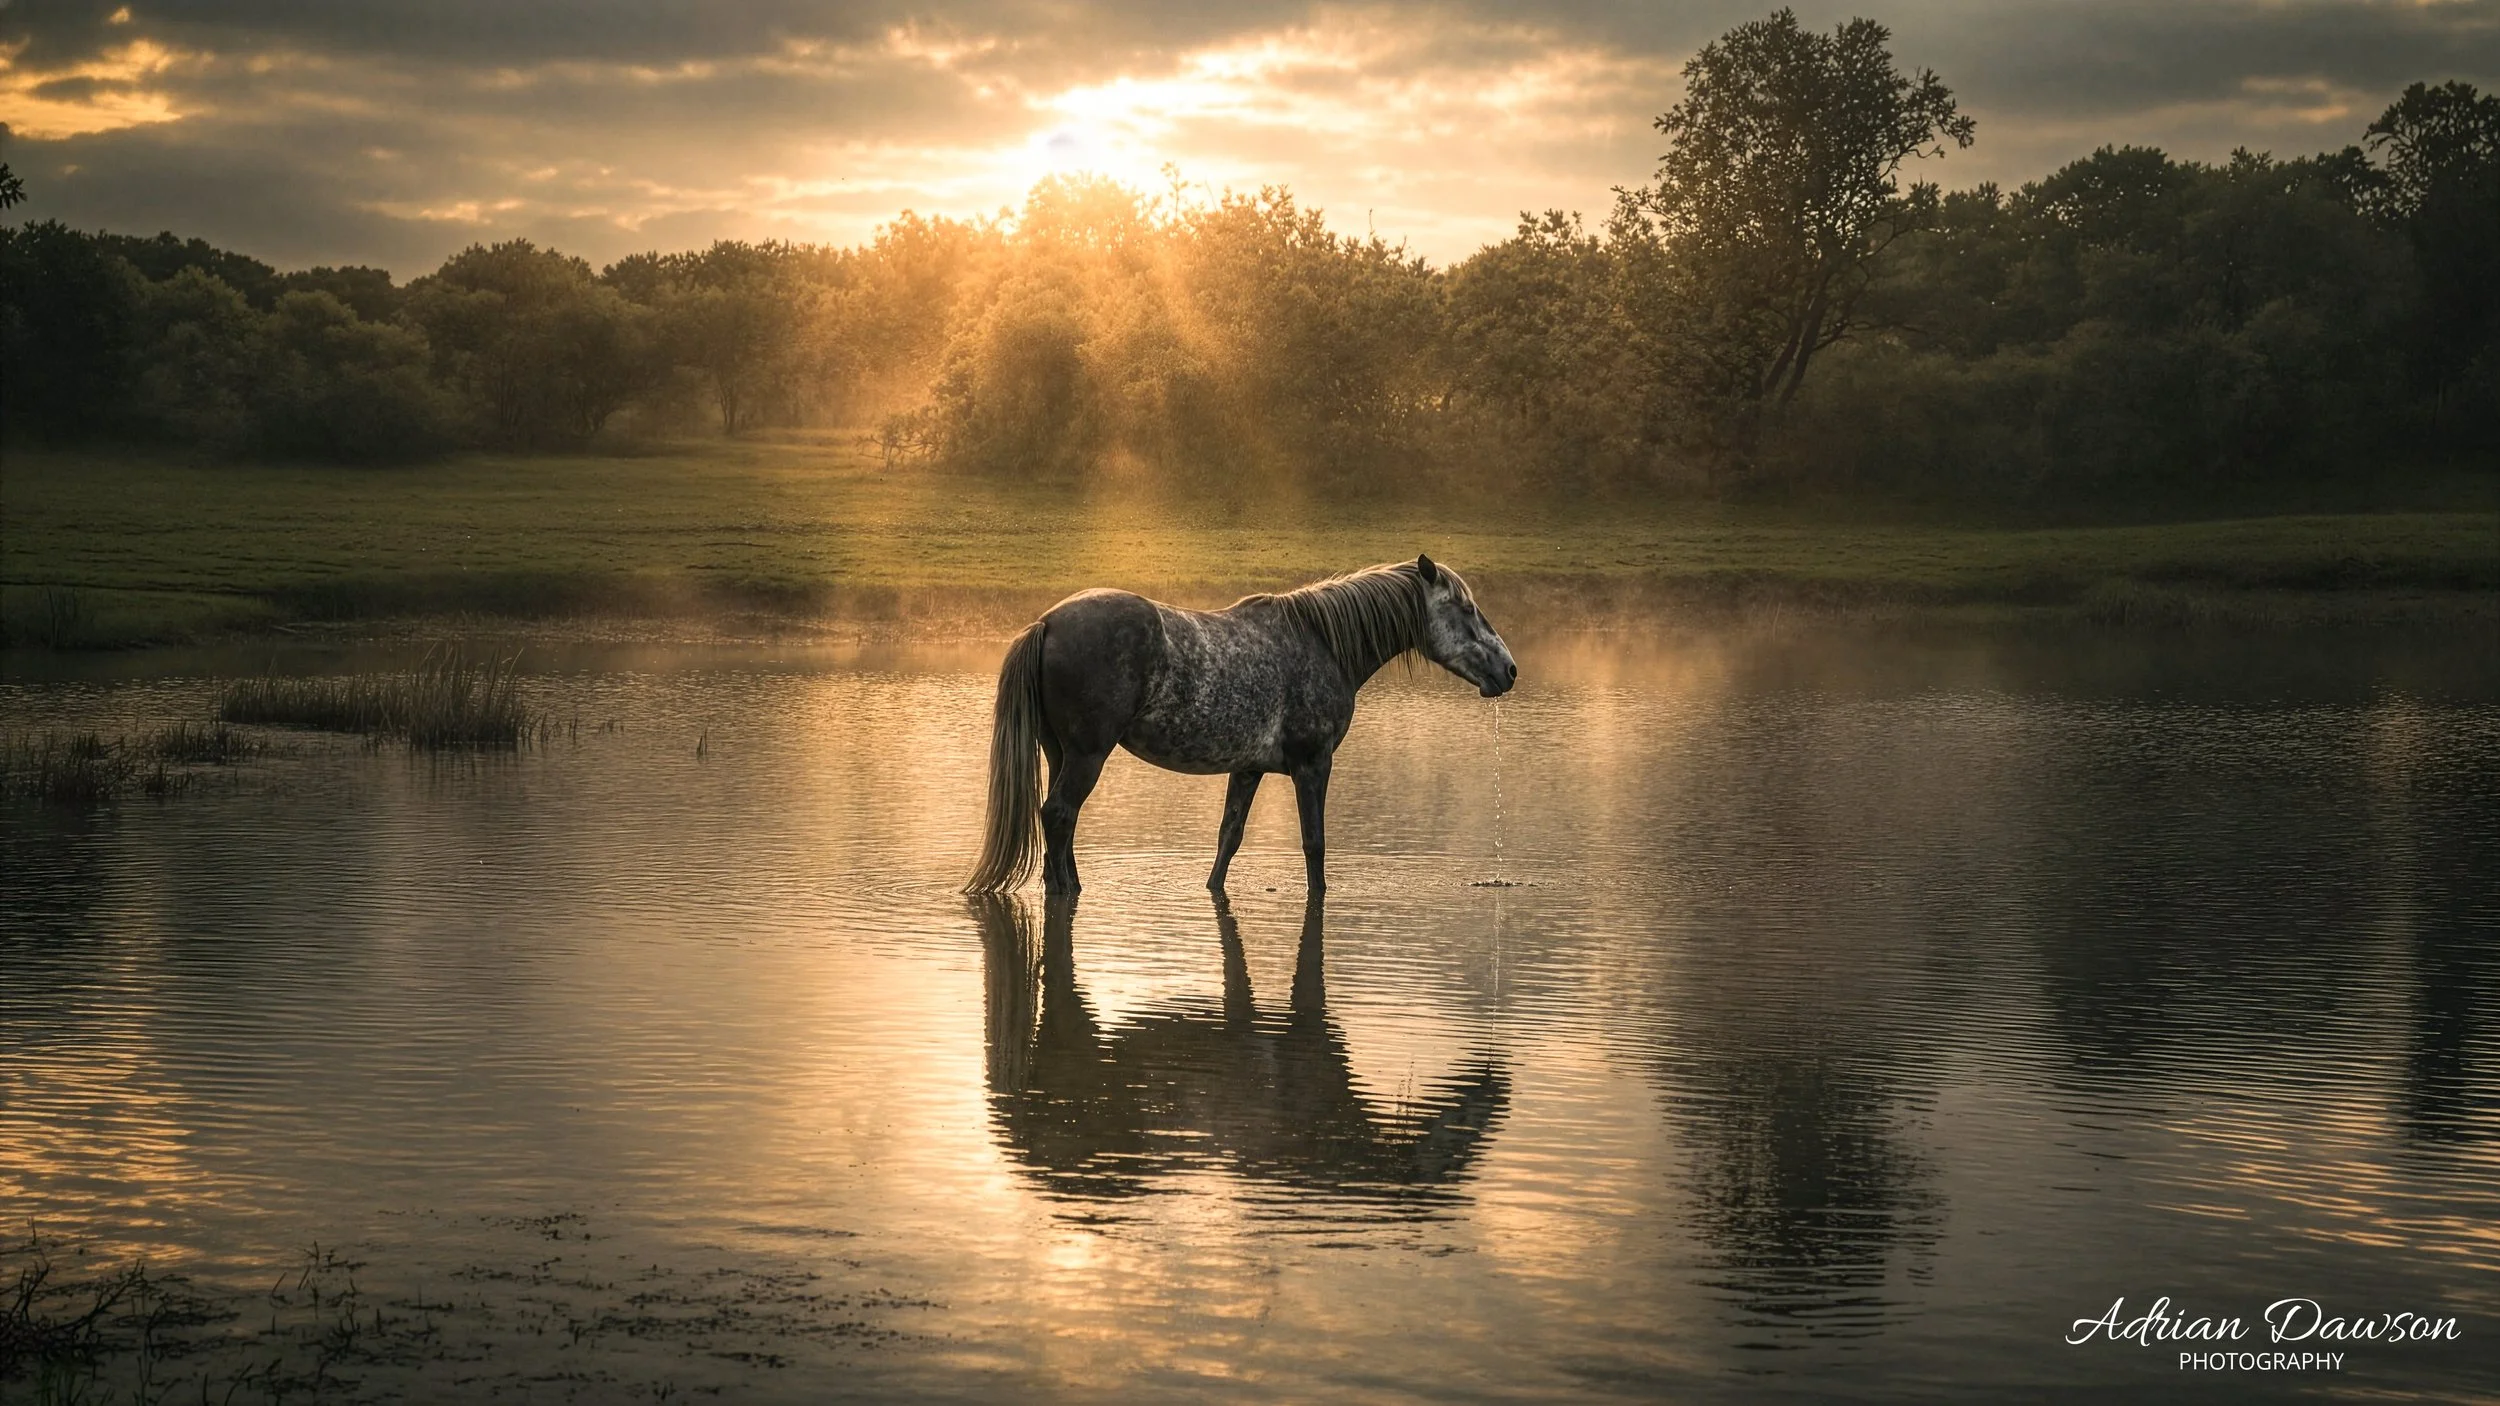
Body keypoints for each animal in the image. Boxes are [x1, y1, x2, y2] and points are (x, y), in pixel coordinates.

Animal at [964, 555, 1516, 895]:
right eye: (1466, 608)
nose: (1509, 670)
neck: (1320, 642)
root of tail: (1047, 623)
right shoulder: (1313, 765)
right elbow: (1314, 844)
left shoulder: (1248, 770)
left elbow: (1228, 839)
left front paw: (1212, 888)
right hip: (1087, 756)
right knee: (1058, 815)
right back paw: (1064, 892)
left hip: (1059, 753)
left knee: (1062, 820)